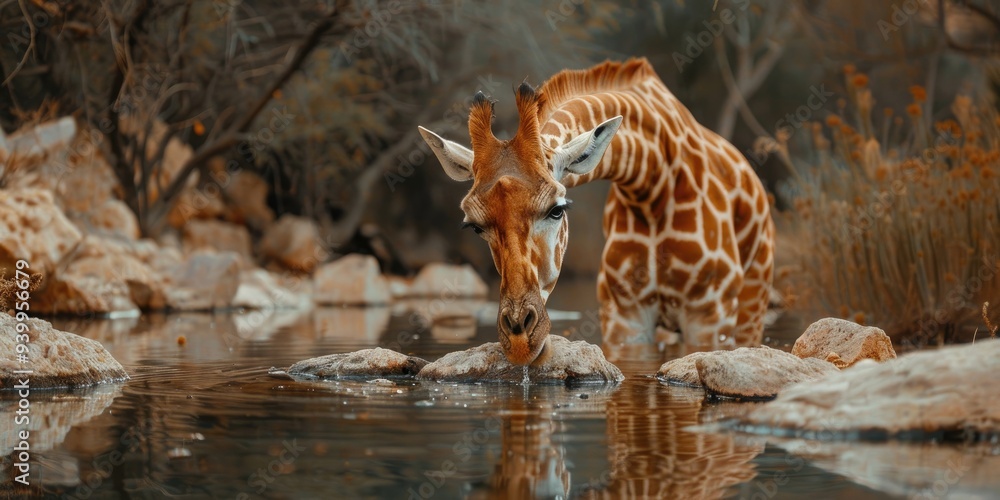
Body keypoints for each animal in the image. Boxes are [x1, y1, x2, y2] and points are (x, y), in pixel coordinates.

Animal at [418, 58, 774, 364]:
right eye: (474, 225)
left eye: (557, 210)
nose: (520, 340)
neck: (653, 184)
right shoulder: (624, 312)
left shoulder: (710, 312)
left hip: (750, 306)